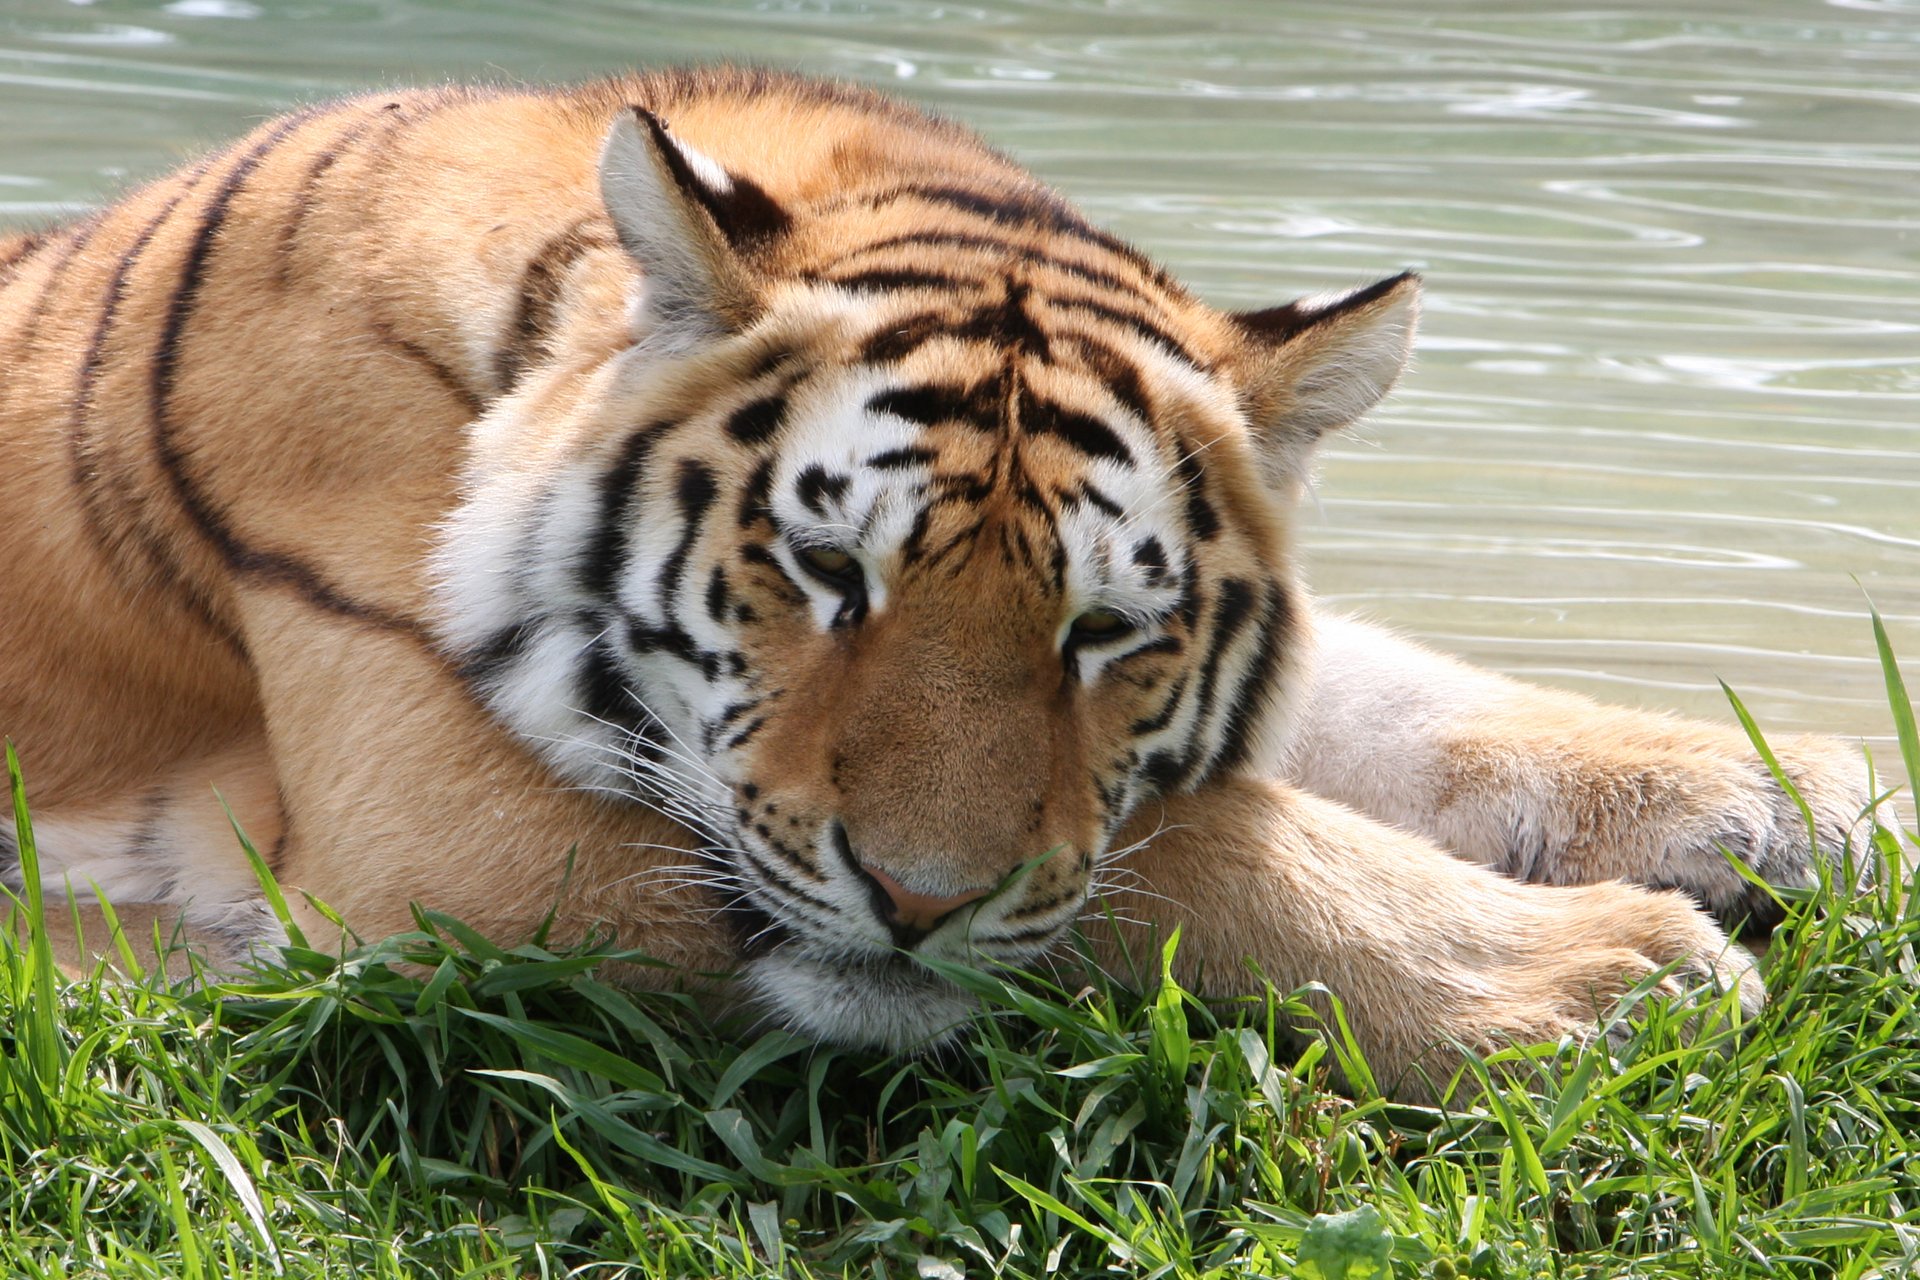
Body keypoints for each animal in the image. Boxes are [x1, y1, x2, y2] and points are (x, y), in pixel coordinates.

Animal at [0, 68, 1876, 1098]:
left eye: (1106, 630)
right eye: (828, 571)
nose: (913, 904)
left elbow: (1369, 703)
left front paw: (1790, 799)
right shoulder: (444, 840)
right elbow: (1183, 853)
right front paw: (1623, 975)